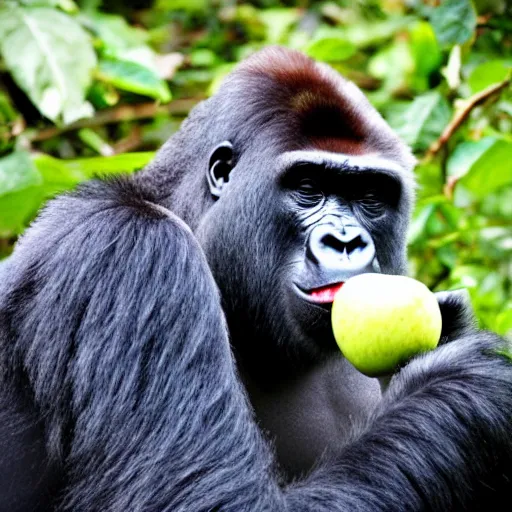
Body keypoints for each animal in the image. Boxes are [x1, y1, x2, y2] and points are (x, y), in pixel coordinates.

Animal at [1, 46, 512, 510]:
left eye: (370, 197)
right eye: (308, 188)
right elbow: (206, 500)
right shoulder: (132, 248)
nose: (346, 242)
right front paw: (467, 382)